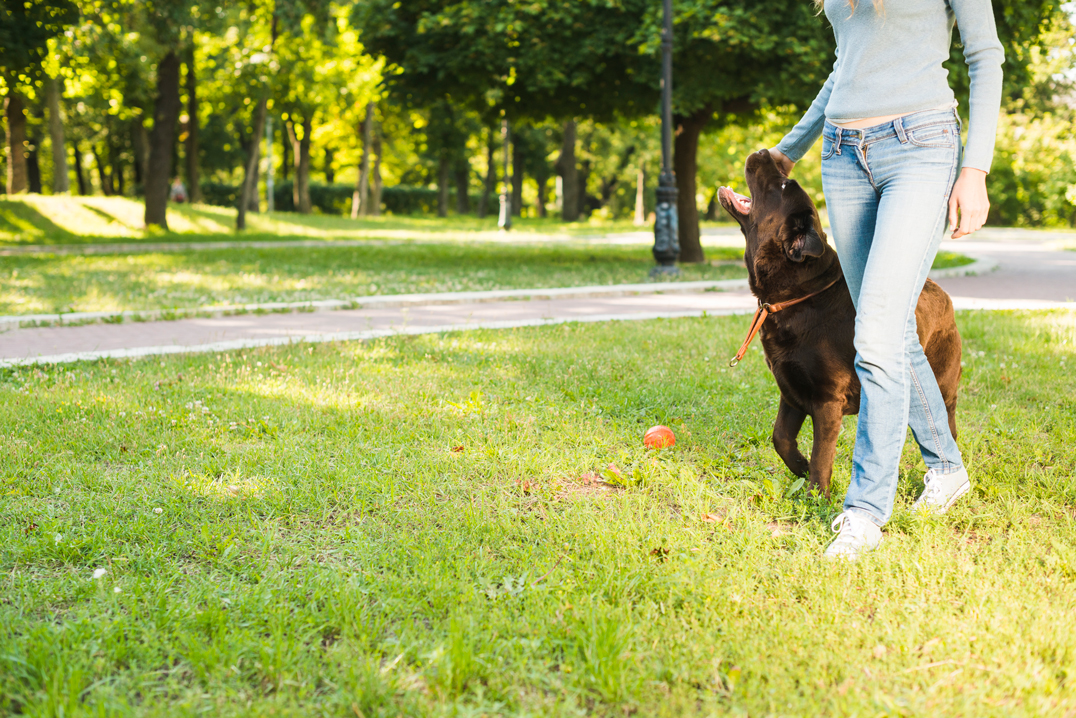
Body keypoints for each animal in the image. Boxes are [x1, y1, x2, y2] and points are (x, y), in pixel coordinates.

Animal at [718, 148, 964, 497]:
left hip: (942, 386)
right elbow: (780, 438)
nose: (765, 151)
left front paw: (816, 496)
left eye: (783, 185)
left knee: (946, 429)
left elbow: (822, 454)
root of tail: (943, 293)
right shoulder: (791, 389)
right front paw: (800, 468)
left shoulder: (827, 400)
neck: (800, 296)